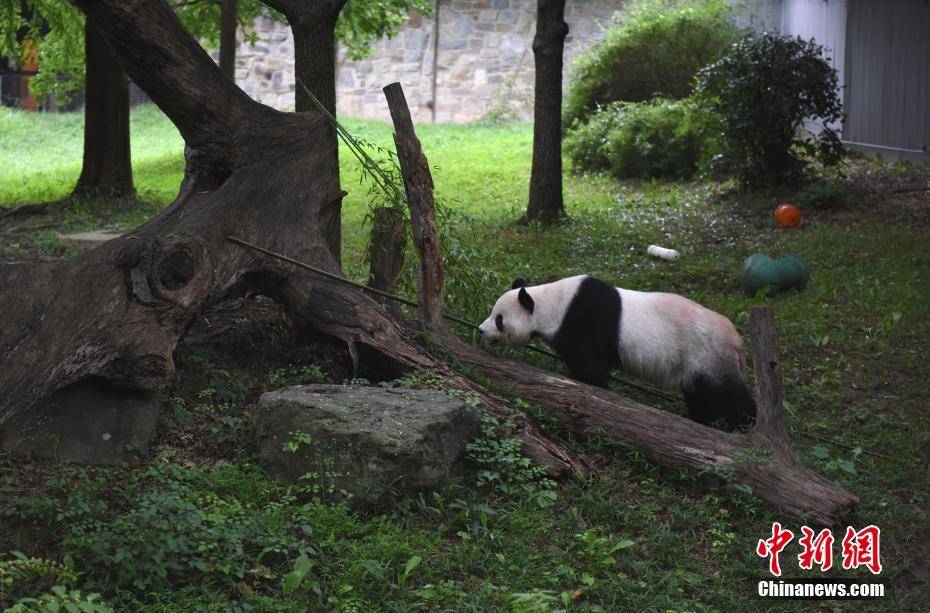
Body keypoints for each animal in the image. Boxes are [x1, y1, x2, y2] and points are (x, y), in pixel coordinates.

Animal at [478, 274, 752, 428]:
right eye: (492, 313)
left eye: (499, 320)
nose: (481, 330)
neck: (553, 303)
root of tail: (737, 341)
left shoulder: (584, 321)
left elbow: (590, 368)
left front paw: (594, 391)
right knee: (699, 395)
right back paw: (699, 420)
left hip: (707, 355)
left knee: (726, 394)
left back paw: (744, 424)